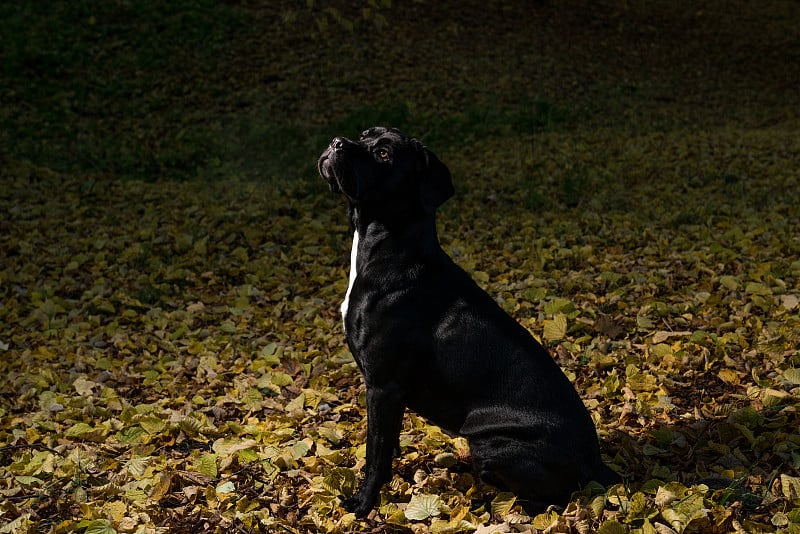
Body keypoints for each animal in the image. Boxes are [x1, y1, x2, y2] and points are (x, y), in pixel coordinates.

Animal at [316, 126, 616, 520]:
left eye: (383, 153)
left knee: (548, 501)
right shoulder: (389, 395)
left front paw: (363, 505)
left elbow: (375, 456)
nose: (336, 143)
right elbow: (388, 444)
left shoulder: (382, 386)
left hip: (492, 443)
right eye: (365, 134)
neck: (391, 248)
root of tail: (595, 461)